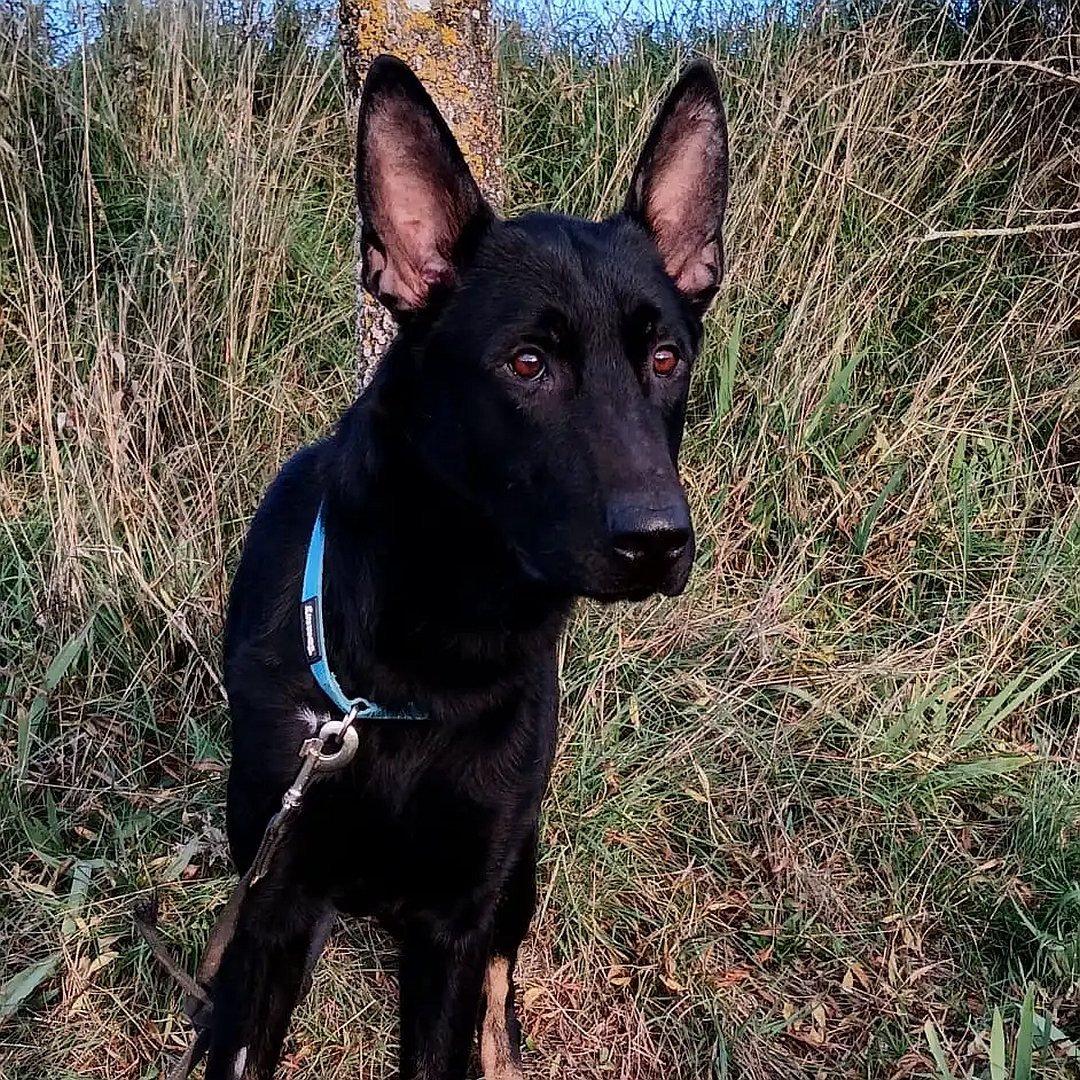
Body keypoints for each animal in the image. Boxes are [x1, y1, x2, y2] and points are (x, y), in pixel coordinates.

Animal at [207, 56, 730, 1080]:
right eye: (526, 363)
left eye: (665, 358)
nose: (659, 540)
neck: (430, 655)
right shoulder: (276, 897)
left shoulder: (456, 916)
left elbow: (455, 1021)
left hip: (516, 874)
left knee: (498, 992)